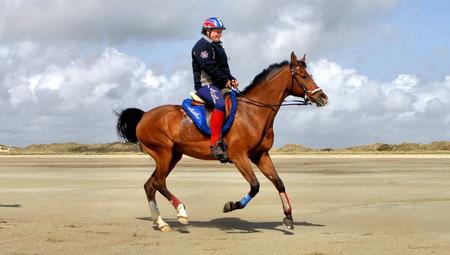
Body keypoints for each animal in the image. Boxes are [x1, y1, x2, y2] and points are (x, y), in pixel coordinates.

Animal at [115, 51, 326, 231]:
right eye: (303, 76)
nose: (323, 97)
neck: (253, 113)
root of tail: (144, 116)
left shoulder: (261, 156)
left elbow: (279, 182)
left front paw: (288, 217)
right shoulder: (240, 157)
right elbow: (255, 186)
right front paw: (231, 205)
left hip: (173, 156)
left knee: (150, 185)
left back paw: (161, 222)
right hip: (164, 154)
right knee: (158, 183)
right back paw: (181, 212)